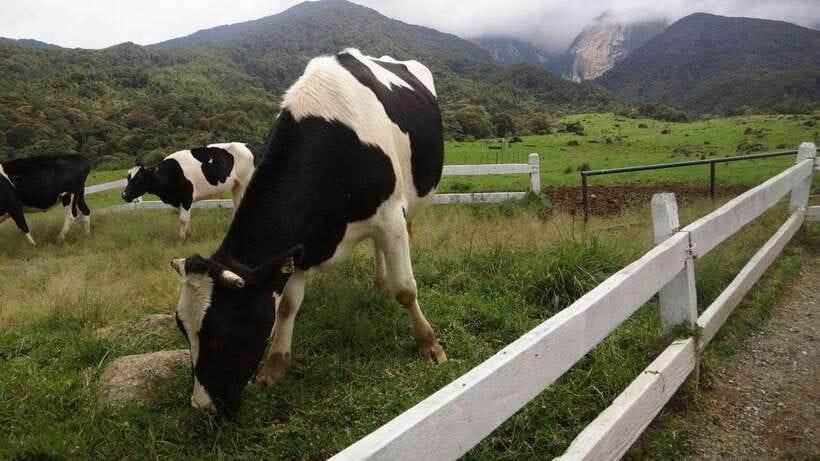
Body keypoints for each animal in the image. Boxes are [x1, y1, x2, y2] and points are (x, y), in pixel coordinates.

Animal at [122, 142, 256, 240]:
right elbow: (187, 218)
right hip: (236, 186)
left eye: (139, 179)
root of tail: (248, 145)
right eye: (128, 178)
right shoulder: (180, 200)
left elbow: (183, 219)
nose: (124, 195)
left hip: (246, 182)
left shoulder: (186, 198)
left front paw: (181, 240)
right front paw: (188, 235)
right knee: (237, 206)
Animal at [168, 48, 446, 415]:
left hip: (408, 206)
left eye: (220, 334)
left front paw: (429, 344)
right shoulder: (298, 243)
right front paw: (275, 366)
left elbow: (405, 289)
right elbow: (287, 304)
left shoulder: (389, 216)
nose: (203, 406)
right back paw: (378, 282)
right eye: (183, 329)